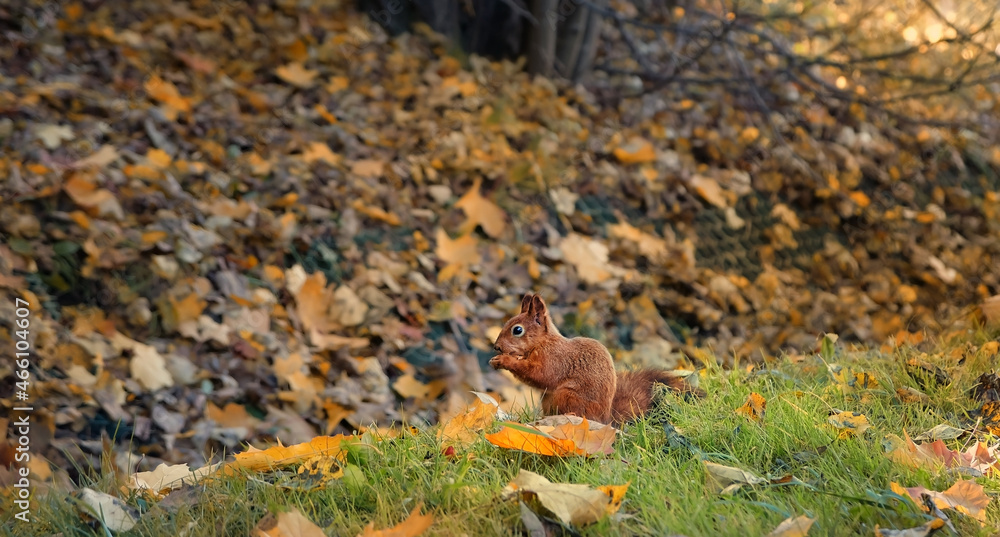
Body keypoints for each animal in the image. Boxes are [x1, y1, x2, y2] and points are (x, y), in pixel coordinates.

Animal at [489, 293, 704, 425]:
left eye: (517, 330)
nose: (496, 346)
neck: (544, 342)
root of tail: (605, 420)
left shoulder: (555, 359)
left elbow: (540, 375)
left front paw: (504, 361)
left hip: (567, 396)